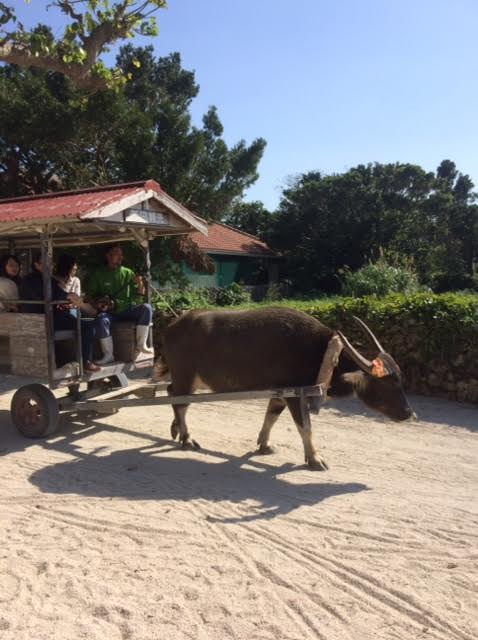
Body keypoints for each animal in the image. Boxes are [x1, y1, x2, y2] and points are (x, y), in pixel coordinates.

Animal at [153, 308, 414, 468]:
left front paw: (264, 444)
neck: (322, 353)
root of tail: (170, 327)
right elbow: (305, 428)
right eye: (387, 383)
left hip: (191, 380)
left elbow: (271, 417)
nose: (409, 414)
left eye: (401, 379)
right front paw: (315, 459)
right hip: (186, 377)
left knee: (171, 394)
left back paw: (176, 430)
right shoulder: (296, 395)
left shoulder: (279, 394)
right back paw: (187, 438)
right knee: (180, 402)